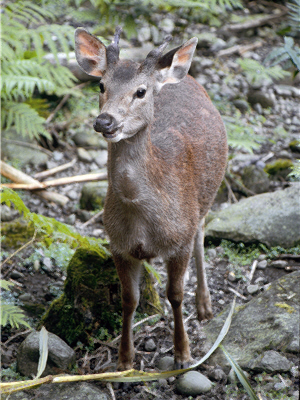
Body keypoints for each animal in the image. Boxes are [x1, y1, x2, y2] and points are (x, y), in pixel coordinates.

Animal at [75, 26, 227, 370]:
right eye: (101, 85)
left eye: (141, 92)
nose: (104, 121)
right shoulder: (118, 244)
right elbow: (129, 299)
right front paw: (124, 359)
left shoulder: (179, 238)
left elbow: (175, 295)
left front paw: (183, 354)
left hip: (204, 200)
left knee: (201, 234)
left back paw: (205, 307)